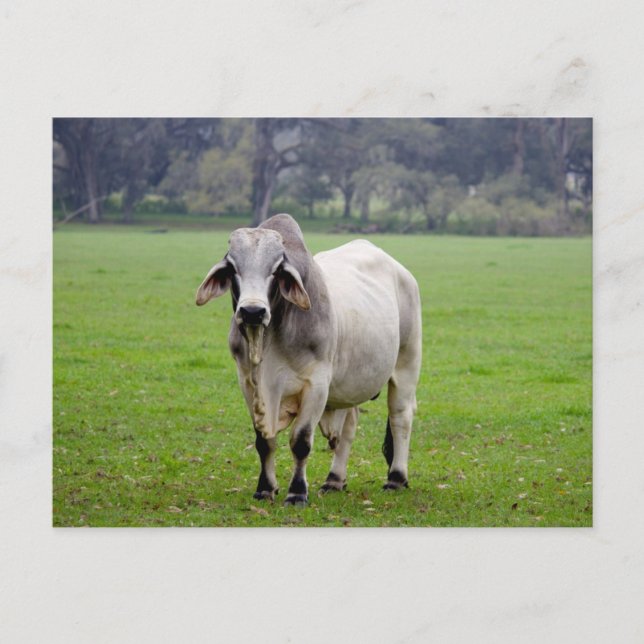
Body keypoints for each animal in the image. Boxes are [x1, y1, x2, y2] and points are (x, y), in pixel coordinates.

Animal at [196, 214, 422, 505]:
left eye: (276, 269)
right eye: (233, 267)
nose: (253, 311)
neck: (268, 340)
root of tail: (401, 271)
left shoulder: (317, 384)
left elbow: (300, 442)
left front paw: (297, 492)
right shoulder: (248, 384)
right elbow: (264, 441)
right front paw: (265, 488)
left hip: (407, 363)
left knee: (400, 417)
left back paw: (396, 478)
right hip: (350, 384)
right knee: (349, 428)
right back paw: (335, 480)